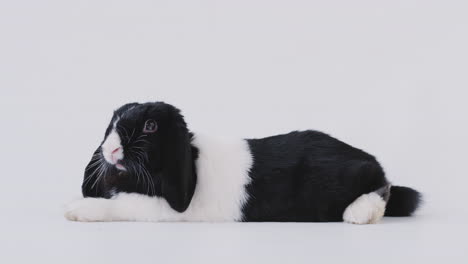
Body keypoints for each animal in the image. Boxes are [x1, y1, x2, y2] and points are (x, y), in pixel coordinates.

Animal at [65, 102, 420, 224]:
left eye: (150, 126)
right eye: (112, 122)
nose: (110, 150)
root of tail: (366, 159)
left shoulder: (162, 208)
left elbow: (121, 205)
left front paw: (77, 210)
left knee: (383, 186)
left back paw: (359, 214)